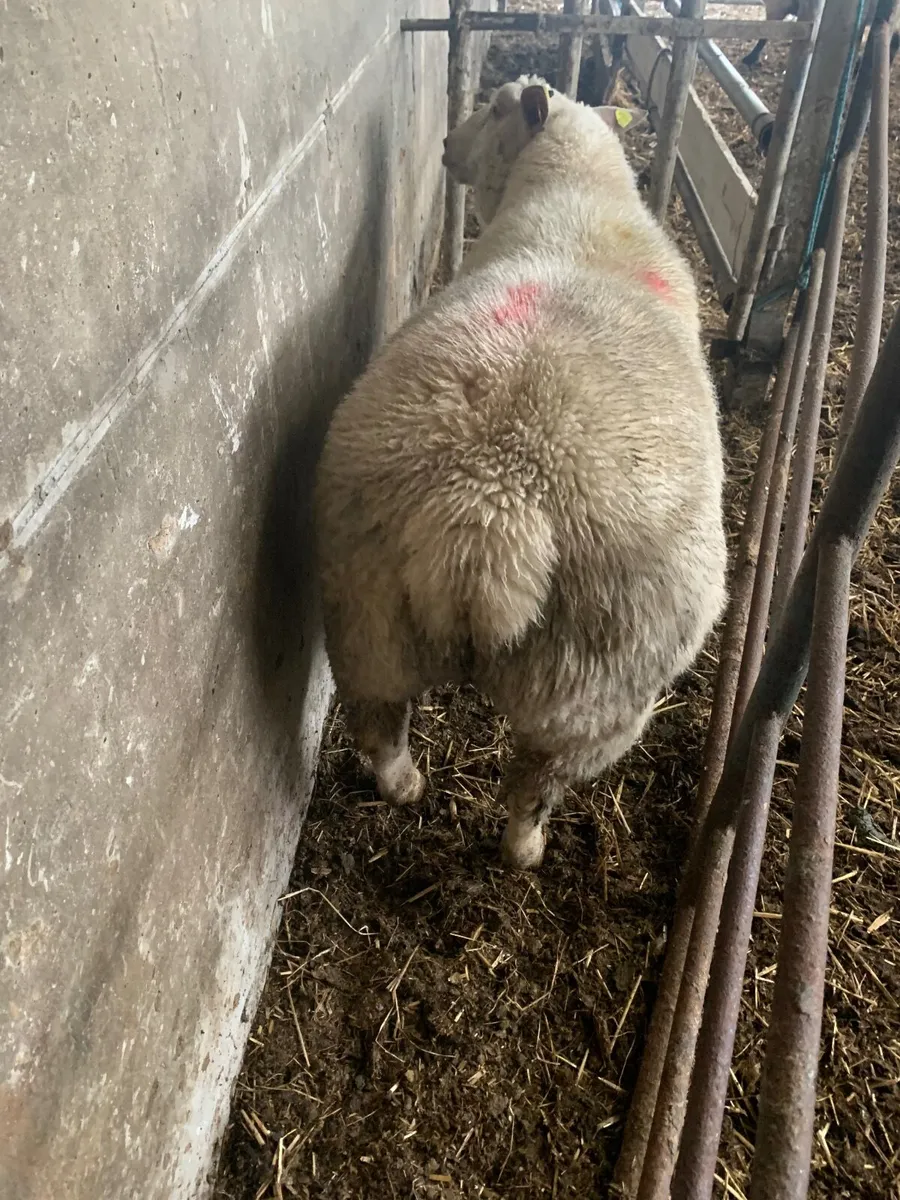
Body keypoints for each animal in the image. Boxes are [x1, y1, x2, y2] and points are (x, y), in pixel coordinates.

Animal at [314, 77, 727, 870]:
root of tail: (490, 508)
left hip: (364, 612)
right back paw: (526, 851)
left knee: (380, 728)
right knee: (533, 786)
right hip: (598, 694)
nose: (448, 144)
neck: (580, 195)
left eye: (497, 108)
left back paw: (407, 788)